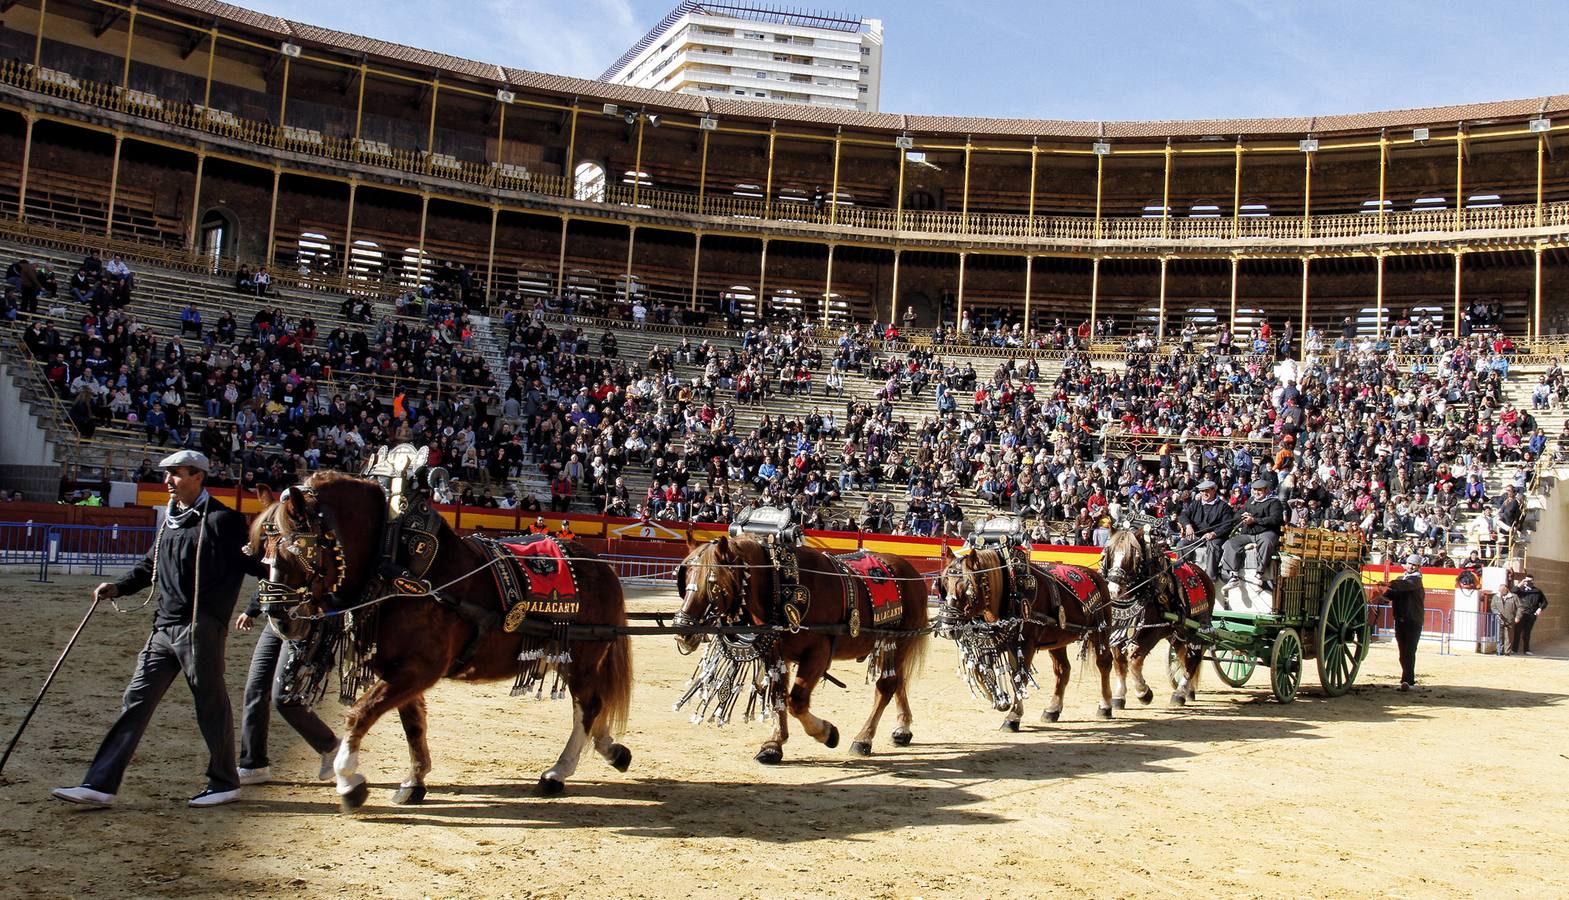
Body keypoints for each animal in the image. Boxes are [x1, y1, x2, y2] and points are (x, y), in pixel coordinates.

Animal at [251, 473, 630, 809]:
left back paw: (558, 772)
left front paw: (349, 781)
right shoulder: (400, 670)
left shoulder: (420, 667)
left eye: (296, 549)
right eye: (261, 551)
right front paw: (414, 781)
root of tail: (602, 566)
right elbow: (413, 724)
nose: (279, 619)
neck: (402, 566)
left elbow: (360, 713)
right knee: (593, 706)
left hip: (582, 657)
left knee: (588, 706)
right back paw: (611, 749)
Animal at [671, 539, 916, 765]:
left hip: (899, 641)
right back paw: (902, 729)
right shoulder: (776, 655)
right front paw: (773, 745)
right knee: (899, 681)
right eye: (686, 576)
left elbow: (796, 701)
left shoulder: (818, 652)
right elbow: (778, 697)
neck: (780, 586)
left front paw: (826, 733)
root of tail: (907, 567)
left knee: (887, 686)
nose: (683, 630)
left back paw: (864, 738)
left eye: (712, 582)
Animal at [928, 545, 1117, 730]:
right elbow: (980, 671)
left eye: (967, 586)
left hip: (1100, 631)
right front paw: (996, 699)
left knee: (1104, 663)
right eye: (945, 583)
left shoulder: (1025, 645)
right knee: (1063, 670)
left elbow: (1018, 678)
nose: (946, 626)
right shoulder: (989, 641)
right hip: (1058, 639)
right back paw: (1052, 709)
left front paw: (1013, 716)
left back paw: (1105, 706)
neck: (1010, 591)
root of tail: (1096, 576)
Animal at [1092, 529, 1211, 711]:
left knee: (1193, 658)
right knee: (1183, 655)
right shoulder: (1117, 629)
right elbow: (1119, 662)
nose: (1113, 591)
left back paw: (1179, 693)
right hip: (1177, 632)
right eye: (1109, 553)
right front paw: (1119, 696)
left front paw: (1143, 693)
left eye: (1133, 557)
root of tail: (1202, 572)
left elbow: (1134, 660)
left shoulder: (1154, 630)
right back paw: (1188, 691)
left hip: (1196, 629)